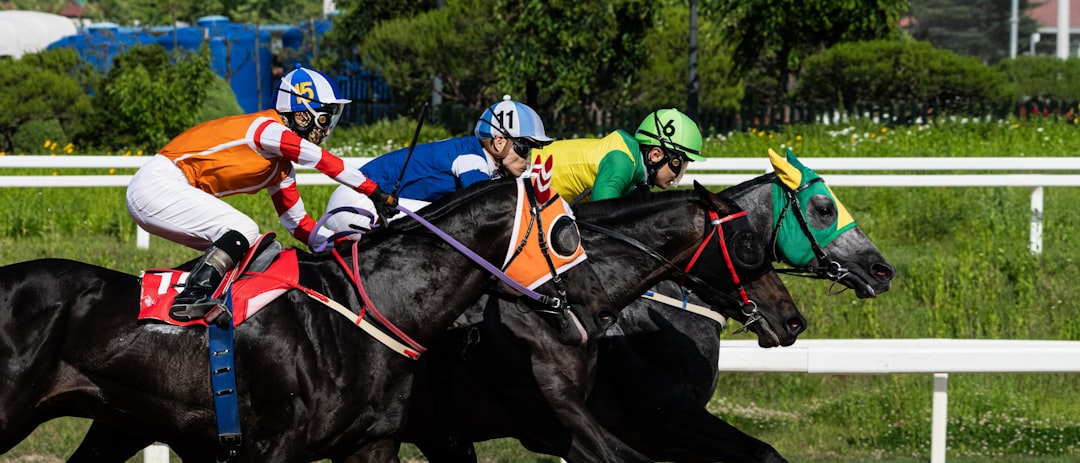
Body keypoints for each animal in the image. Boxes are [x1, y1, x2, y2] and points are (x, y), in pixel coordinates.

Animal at [0, 178, 618, 462]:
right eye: (568, 231)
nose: (595, 307)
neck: (370, 308)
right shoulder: (273, 445)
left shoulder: (372, 442)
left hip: (117, 421)